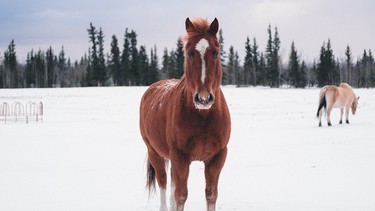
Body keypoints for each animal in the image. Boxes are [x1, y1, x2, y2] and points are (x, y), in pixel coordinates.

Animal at [140, 18, 231, 211]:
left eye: (216, 52)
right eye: (189, 53)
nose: (203, 98)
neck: (203, 117)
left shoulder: (217, 157)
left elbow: (211, 195)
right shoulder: (180, 157)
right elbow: (181, 195)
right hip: (154, 152)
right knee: (163, 182)